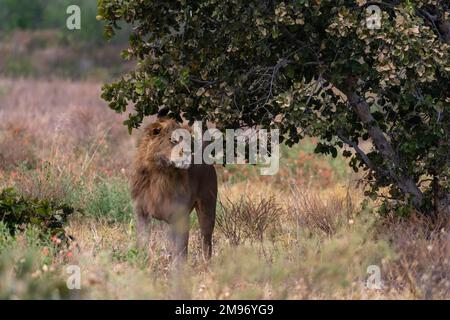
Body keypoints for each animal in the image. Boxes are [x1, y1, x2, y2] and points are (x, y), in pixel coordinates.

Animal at [130, 117, 218, 260]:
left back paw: (206, 262)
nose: (187, 153)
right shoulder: (141, 212)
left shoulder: (180, 215)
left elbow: (181, 250)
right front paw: (141, 260)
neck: (160, 173)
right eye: (174, 141)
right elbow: (142, 242)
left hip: (207, 208)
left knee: (206, 240)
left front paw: (179, 266)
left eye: (188, 141)